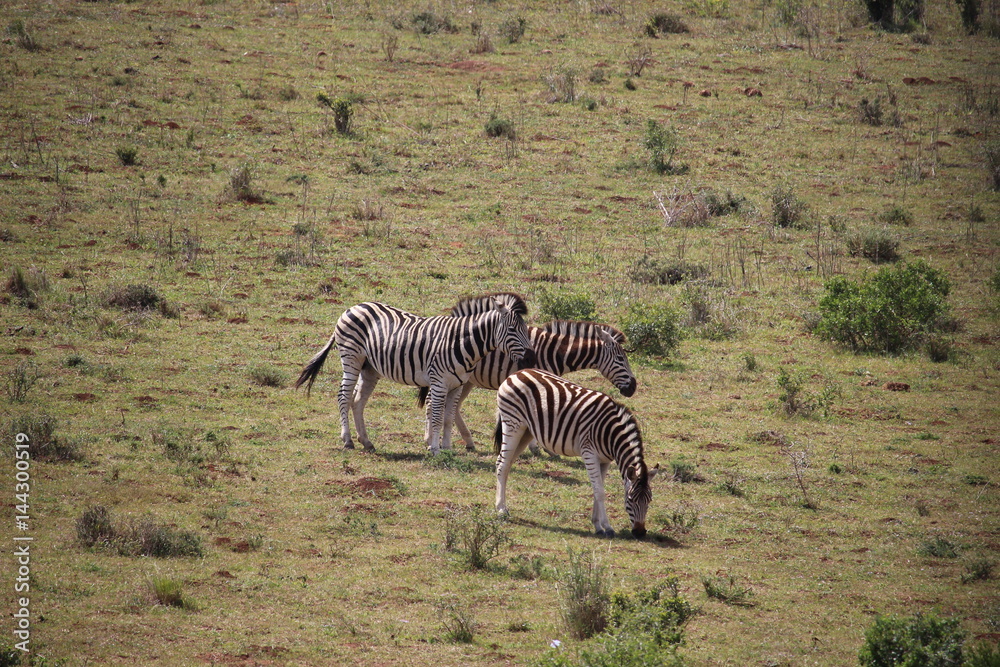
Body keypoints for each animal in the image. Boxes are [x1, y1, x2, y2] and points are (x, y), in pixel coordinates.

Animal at [294, 299, 535, 454]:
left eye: (525, 329)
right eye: (512, 329)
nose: (531, 358)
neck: (461, 344)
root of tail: (352, 307)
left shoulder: (456, 385)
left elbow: (448, 418)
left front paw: (447, 448)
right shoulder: (439, 383)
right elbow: (436, 417)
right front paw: (434, 448)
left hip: (369, 368)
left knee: (357, 401)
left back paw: (366, 441)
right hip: (352, 358)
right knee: (344, 397)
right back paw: (347, 441)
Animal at [418, 294, 636, 451]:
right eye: (620, 360)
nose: (633, 388)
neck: (553, 352)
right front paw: (535, 447)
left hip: (464, 380)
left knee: (453, 407)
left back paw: (468, 441)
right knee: (433, 401)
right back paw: (429, 438)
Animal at [494, 368, 659, 538]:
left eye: (649, 500)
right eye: (631, 499)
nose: (640, 533)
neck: (611, 435)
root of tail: (518, 373)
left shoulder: (605, 460)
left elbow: (597, 490)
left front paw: (597, 525)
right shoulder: (589, 453)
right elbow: (600, 491)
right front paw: (607, 527)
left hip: (526, 431)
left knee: (506, 463)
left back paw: (501, 506)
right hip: (513, 424)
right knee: (503, 464)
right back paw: (501, 510)